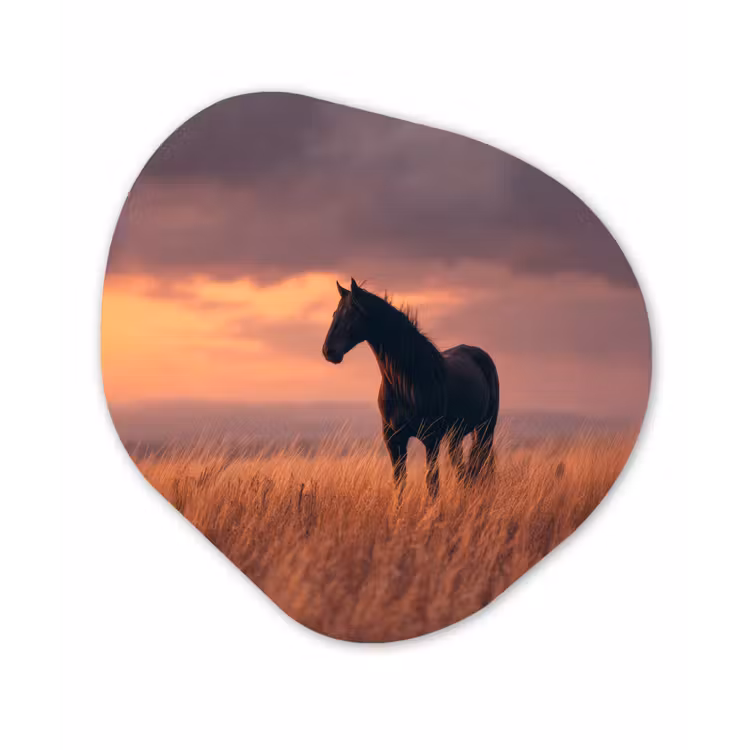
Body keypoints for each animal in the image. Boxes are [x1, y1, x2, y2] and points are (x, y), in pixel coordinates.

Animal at [322, 279, 500, 497]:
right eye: (334, 313)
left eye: (351, 313)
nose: (328, 351)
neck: (407, 382)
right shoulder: (393, 440)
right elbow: (400, 483)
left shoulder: (431, 439)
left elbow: (432, 483)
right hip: (456, 435)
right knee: (463, 472)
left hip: (485, 430)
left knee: (478, 466)